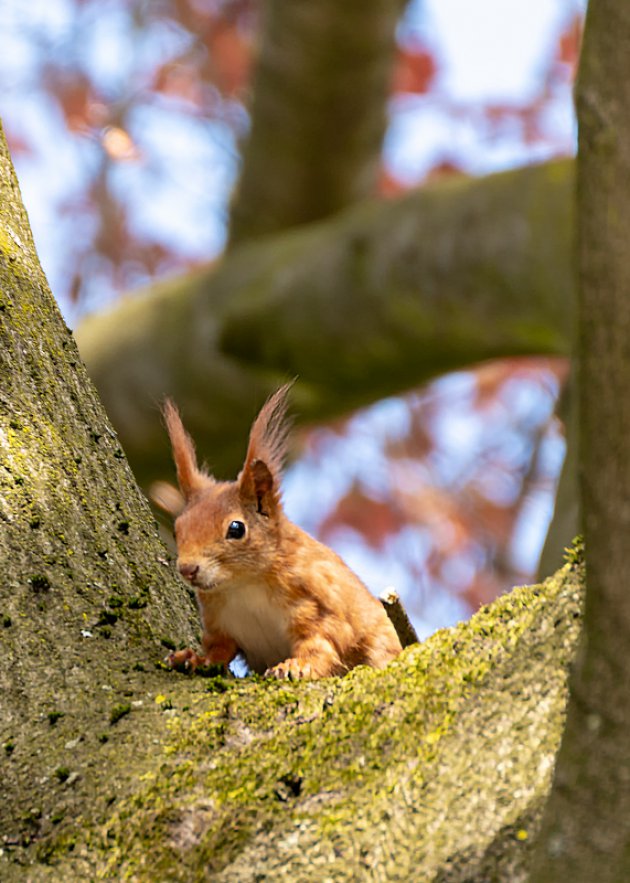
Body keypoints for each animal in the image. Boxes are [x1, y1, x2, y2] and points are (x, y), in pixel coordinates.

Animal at [163, 384, 400, 680]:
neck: (244, 586)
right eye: (177, 530)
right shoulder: (220, 626)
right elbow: (219, 651)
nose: (187, 569)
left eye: (236, 528)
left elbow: (322, 643)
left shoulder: (317, 605)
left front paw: (296, 666)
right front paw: (194, 658)